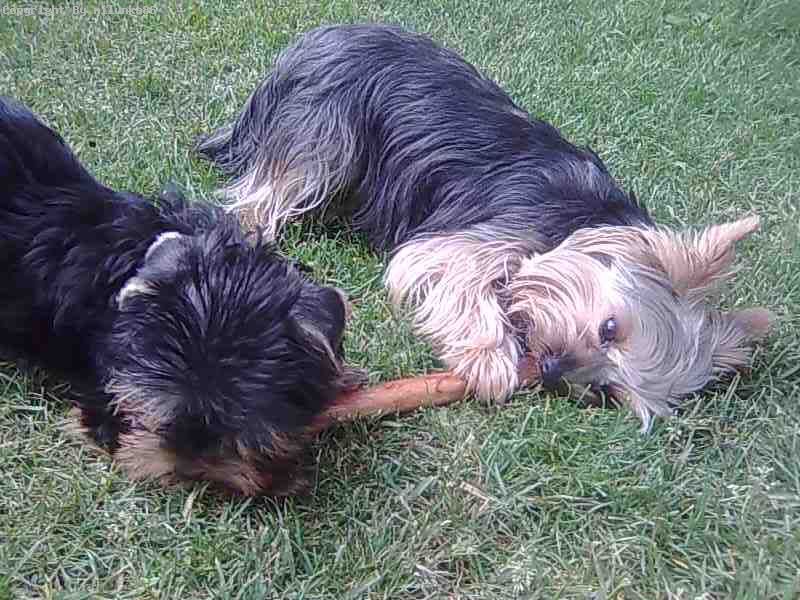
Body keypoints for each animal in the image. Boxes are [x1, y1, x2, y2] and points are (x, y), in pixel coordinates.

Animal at [196, 24, 773, 431]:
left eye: (607, 392)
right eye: (610, 328)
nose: (554, 373)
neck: (587, 221)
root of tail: (313, 39)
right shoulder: (465, 244)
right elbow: (457, 280)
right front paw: (489, 358)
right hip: (324, 135)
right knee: (263, 194)